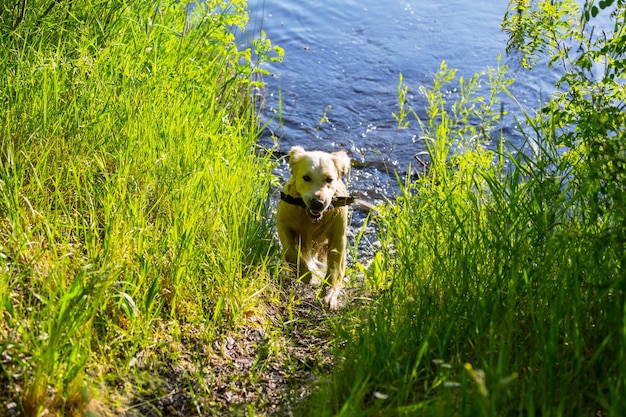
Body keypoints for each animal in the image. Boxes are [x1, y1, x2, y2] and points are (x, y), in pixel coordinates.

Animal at [276, 146, 354, 308]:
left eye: (329, 179)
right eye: (306, 177)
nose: (318, 203)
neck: (311, 220)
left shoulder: (338, 237)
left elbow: (335, 267)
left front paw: (329, 295)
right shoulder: (282, 224)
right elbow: (290, 251)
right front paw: (306, 274)